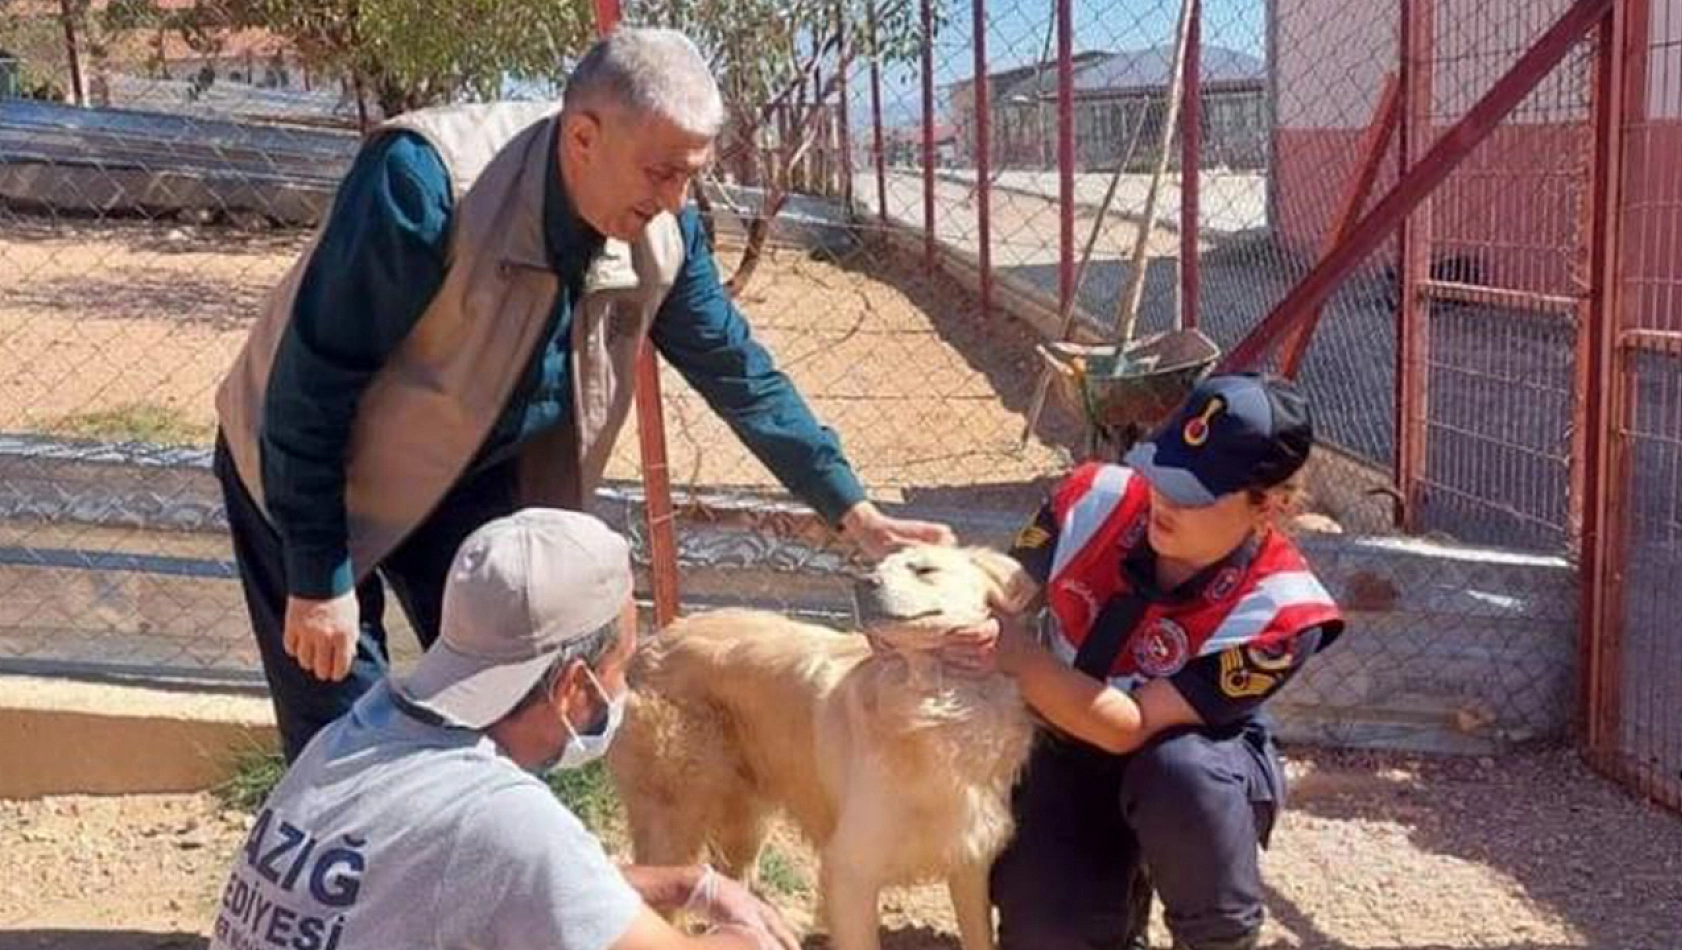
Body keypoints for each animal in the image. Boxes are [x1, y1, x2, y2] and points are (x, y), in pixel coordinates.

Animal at [608, 541, 1036, 948]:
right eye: (876, 567)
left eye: (925, 569)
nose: (862, 583)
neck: (935, 705)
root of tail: (653, 639)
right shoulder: (850, 871)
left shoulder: (970, 860)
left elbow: (979, 936)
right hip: (674, 816)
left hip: (746, 819)